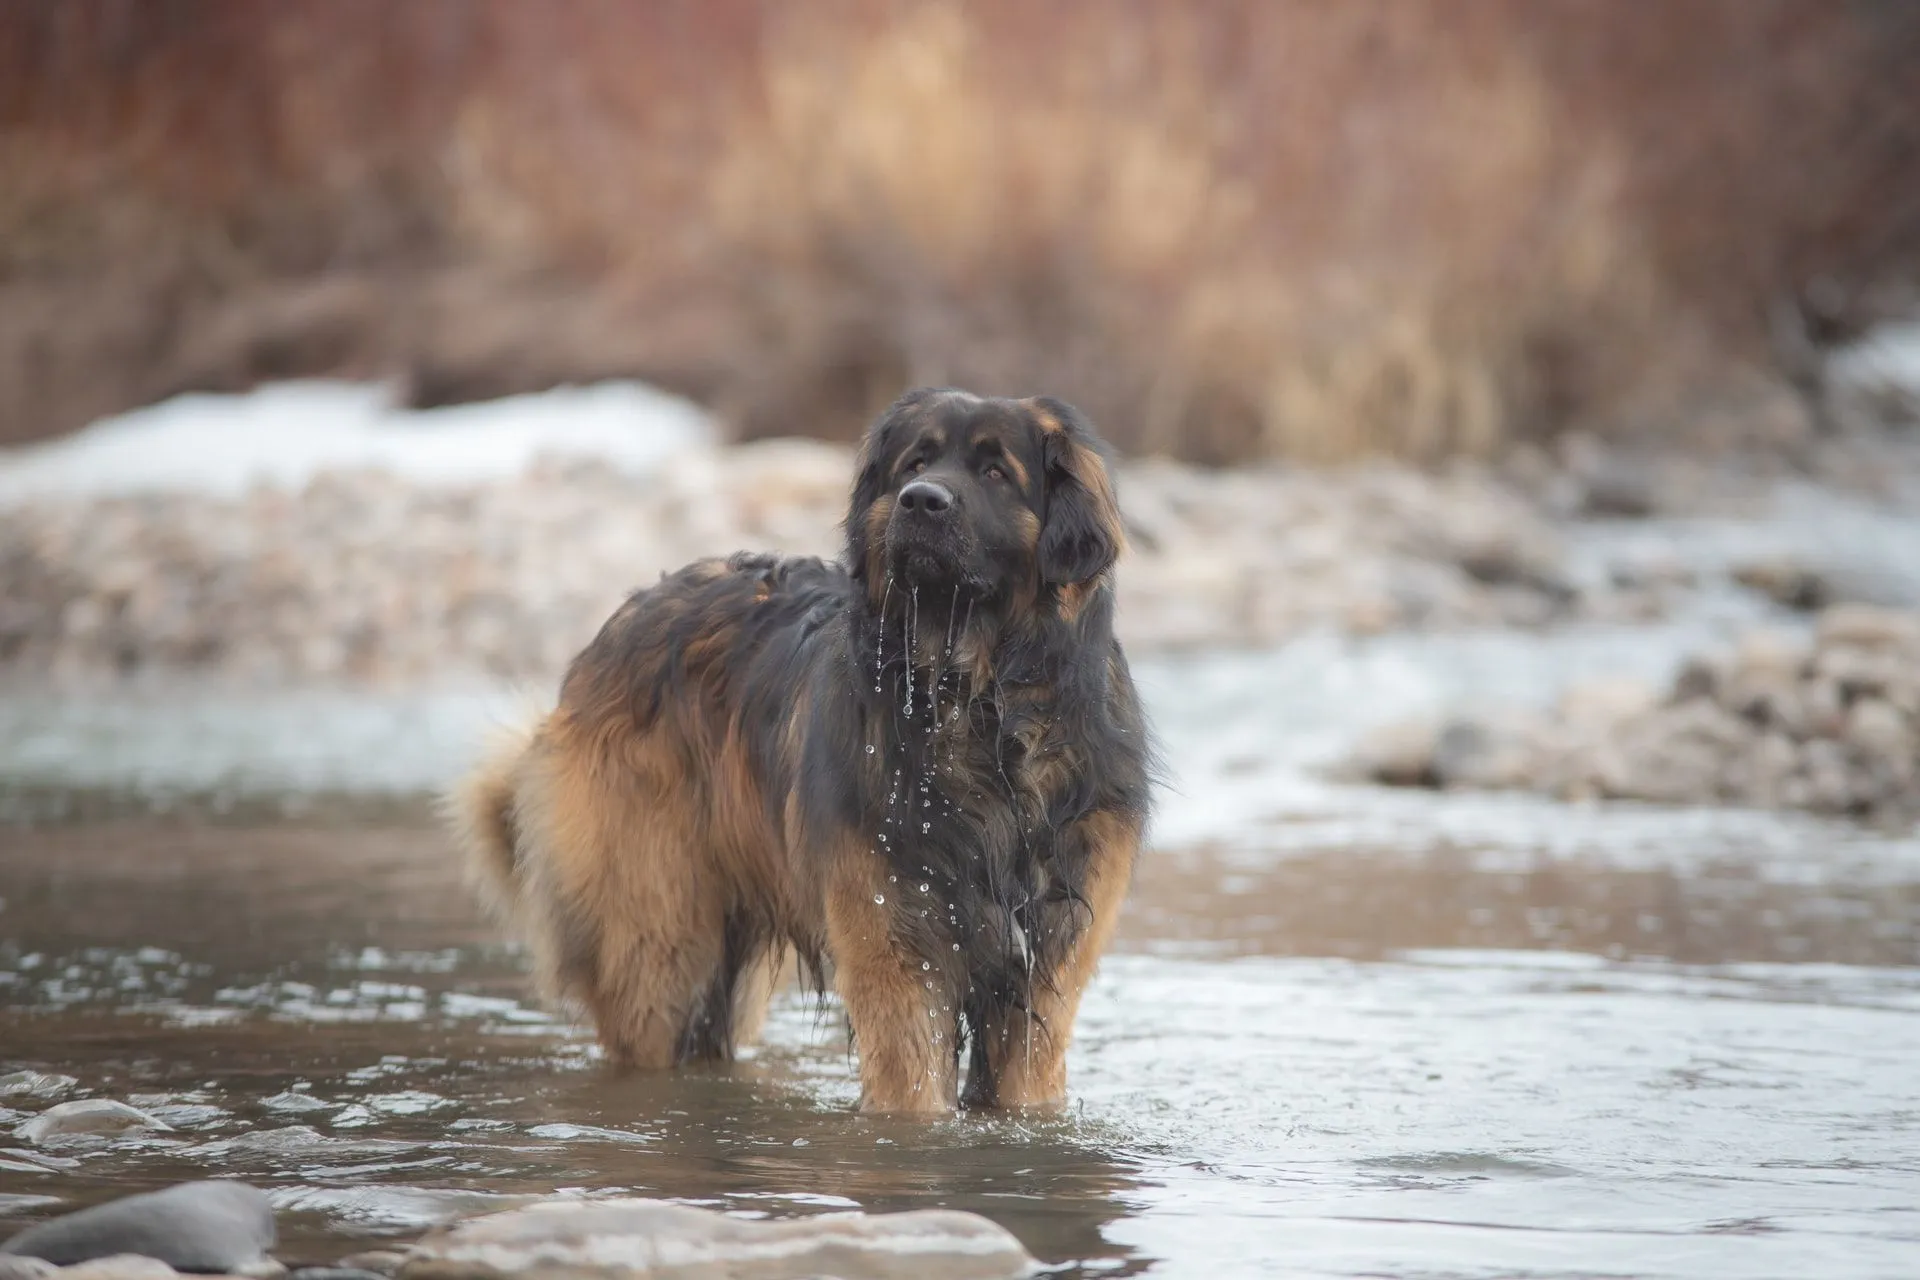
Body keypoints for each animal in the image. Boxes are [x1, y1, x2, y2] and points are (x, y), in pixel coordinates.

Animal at [449, 387, 1152, 1113]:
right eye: (915, 462)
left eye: (995, 471)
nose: (921, 501)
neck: (973, 711)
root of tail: (618, 624)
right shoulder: (896, 950)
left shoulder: (1045, 965)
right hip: (655, 936)